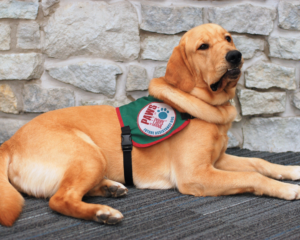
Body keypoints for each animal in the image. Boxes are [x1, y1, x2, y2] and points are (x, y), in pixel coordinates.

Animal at [0, 23, 300, 227]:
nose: (235, 55)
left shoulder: (218, 160)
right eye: (203, 46)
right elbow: (252, 176)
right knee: (59, 199)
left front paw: (291, 170)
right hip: (87, 152)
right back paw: (103, 213)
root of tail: (9, 143)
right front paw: (286, 189)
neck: (204, 105)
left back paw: (110, 188)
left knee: (68, 191)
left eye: (228, 38)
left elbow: (260, 163)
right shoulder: (196, 175)